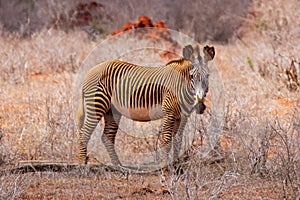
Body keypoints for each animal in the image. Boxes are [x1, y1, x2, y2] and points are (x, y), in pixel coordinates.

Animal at [76, 45, 214, 166]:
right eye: (192, 76)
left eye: (208, 76)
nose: (200, 106)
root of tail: (91, 71)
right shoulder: (169, 112)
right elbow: (167, 139)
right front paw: (165, 166)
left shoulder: (182, 116)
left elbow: (178, 140)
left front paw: (176, 164)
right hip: (97, 104)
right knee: (84, 134)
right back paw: (82, 164)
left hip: (112, 111)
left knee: (107, 137)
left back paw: (118, 166)